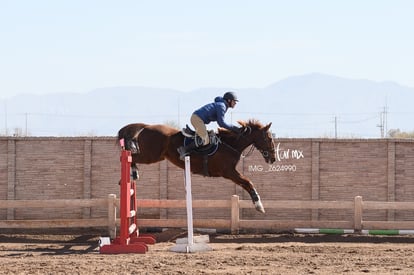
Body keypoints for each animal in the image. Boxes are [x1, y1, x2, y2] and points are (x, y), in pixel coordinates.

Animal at [118, 119, 276, 213]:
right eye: (269, 138)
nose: (273, 158)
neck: (230, 144)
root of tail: (146, 127)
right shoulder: (228, 172)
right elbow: (248, 182)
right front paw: (259, 205)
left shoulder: (231, 172)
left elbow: (246, 183)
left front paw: (258, 204)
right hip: (150, 156)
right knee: (129, 156)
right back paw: (132, 173)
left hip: (156, 156)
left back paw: (131, 174)